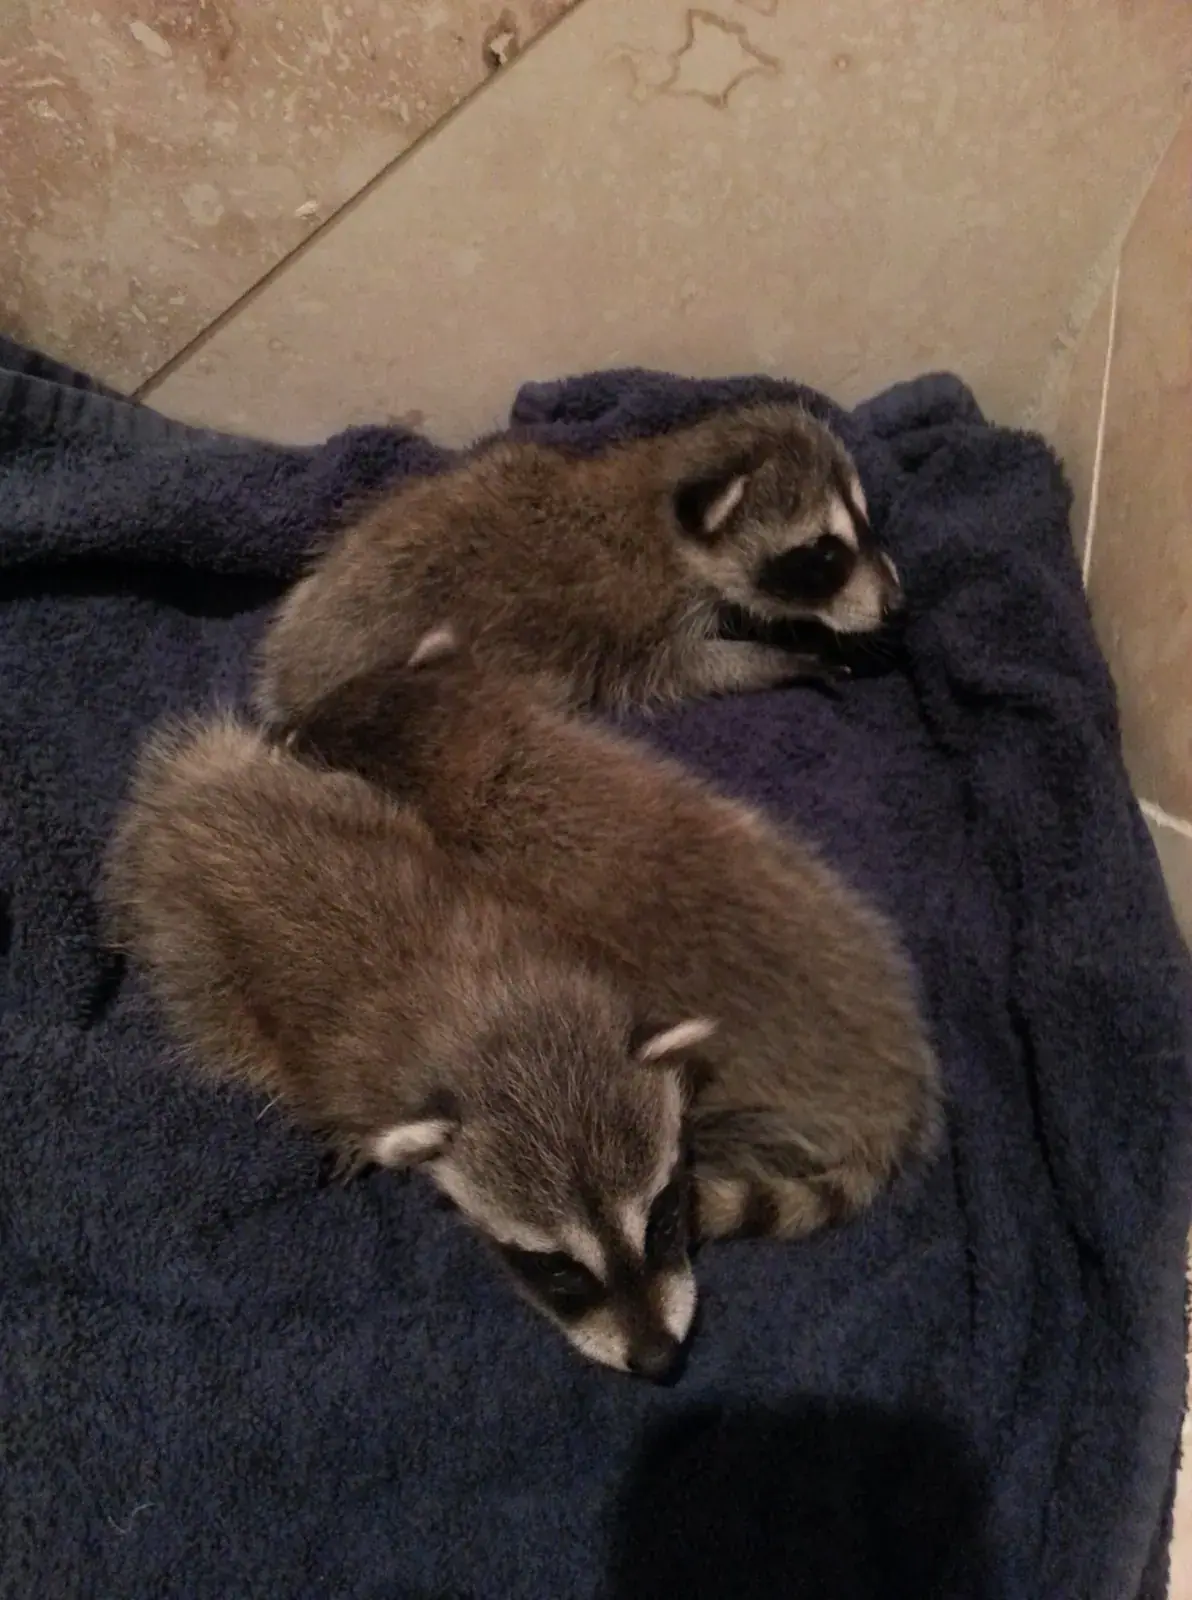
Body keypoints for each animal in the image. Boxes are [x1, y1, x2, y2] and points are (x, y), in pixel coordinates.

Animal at [103, 715, 716, 1378]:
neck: (508, 1029)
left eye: (661, 1220)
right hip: (193, 952)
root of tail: (189, 797)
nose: (659, 1359)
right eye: (557, 1266)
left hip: (344, 800)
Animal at [256, 402, 901, 722]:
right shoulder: (635, 626)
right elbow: (688, 670)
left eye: (865, 520)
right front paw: (777, 661)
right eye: (824, 556)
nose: (897, 602)